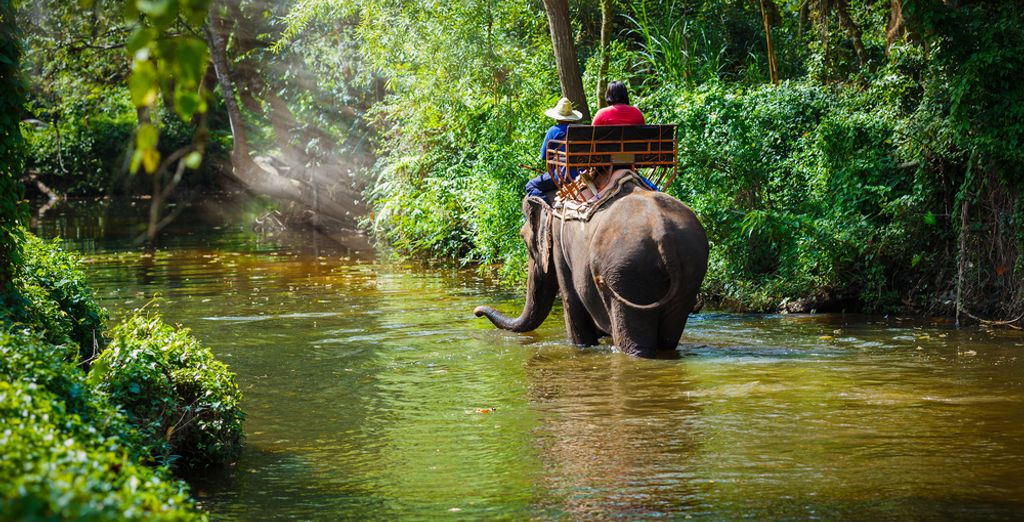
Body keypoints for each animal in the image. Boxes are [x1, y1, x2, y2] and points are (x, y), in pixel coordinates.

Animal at [475, 171, 708, 358]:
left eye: (524, 240)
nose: (477, 312)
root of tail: (663, 234)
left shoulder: (560, 245)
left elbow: (572, 300)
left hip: (627, 273)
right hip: (690, 268)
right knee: (669, 338)